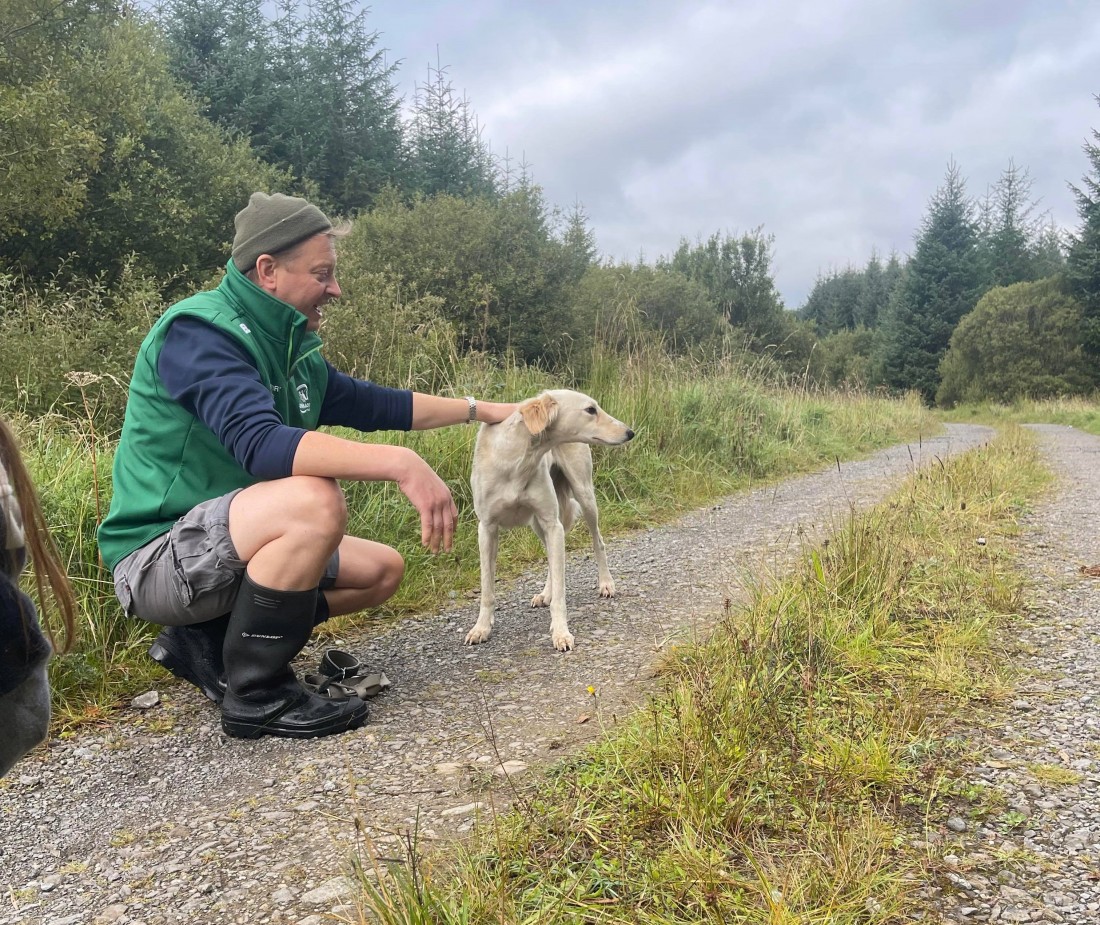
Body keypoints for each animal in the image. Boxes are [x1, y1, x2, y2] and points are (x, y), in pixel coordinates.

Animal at [464, 389, 638, 651]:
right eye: (590, 410)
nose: (630, 432)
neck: (518, 459)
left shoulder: (552, 524)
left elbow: (560, 591)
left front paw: (561, 633)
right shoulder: (487, 529)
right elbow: (487, 589)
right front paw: (481, 628)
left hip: (584, 496)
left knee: (598, 541)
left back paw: (606, 583)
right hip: (538, 523)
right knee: (550, 557)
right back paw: (546, 593)